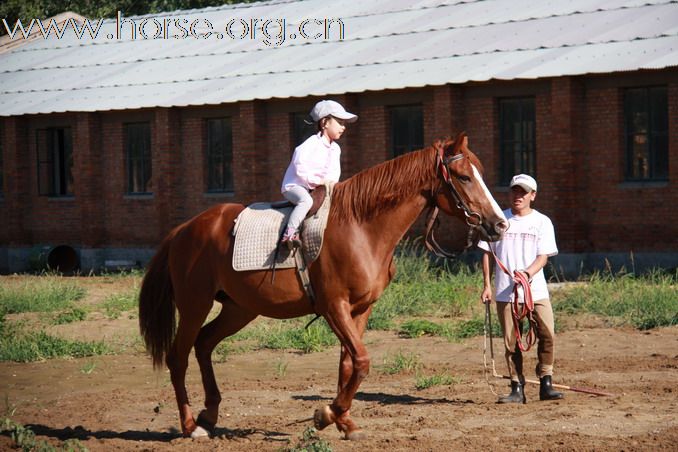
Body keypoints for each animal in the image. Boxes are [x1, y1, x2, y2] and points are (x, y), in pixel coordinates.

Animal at [139, 132, 510, 440]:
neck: (360, 226)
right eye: (464, 177)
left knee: (203, 345)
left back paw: (209, 415)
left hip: (238, 308)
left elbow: (350, 364)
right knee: (178, 357)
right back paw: (190, 425)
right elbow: (361, 361)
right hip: (194, 305)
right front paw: (328, 413)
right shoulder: (334, 307)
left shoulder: (360, 309)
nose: (499, 225)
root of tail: (185, 229)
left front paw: (342, 420)